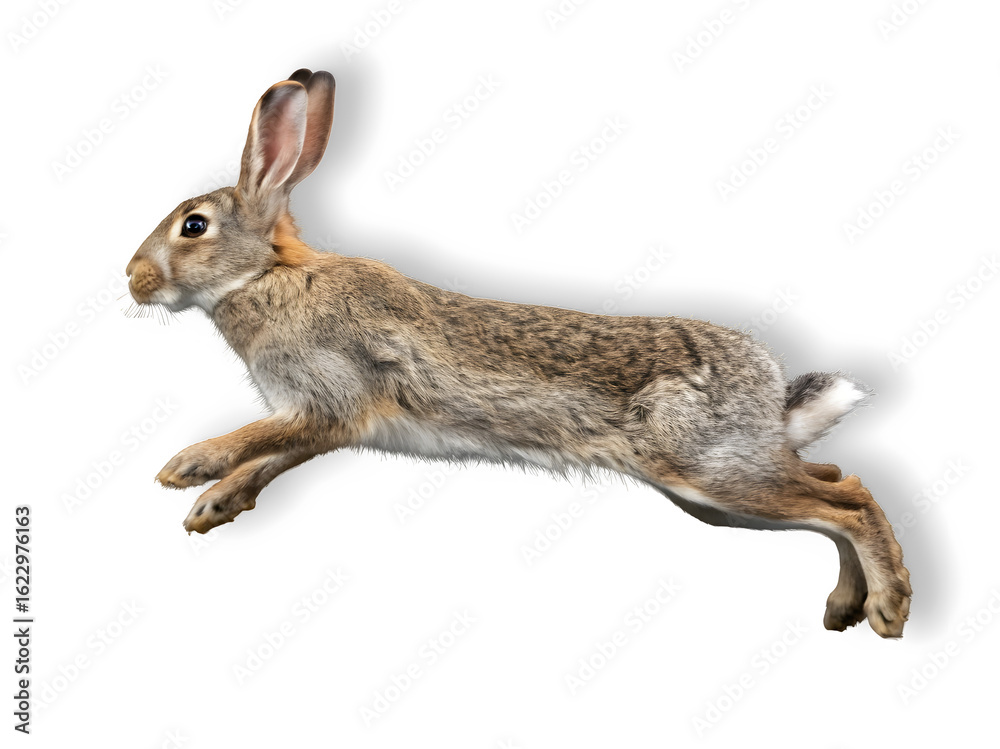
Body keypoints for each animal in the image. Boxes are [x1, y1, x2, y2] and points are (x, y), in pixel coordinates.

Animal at [126, 69, 910, 637]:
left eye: (193, 226)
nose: (132, 279)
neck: (268, 275)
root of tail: (769, 390)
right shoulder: (325, 418)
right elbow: (276, 453)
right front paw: (213, 504)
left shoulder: (329, 395)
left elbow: (259, 438)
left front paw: (187, 466)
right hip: (717, 496)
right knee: (831, 481)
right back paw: (845, 607)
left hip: (706, 471)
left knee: (849, 499)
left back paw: (887, 607)